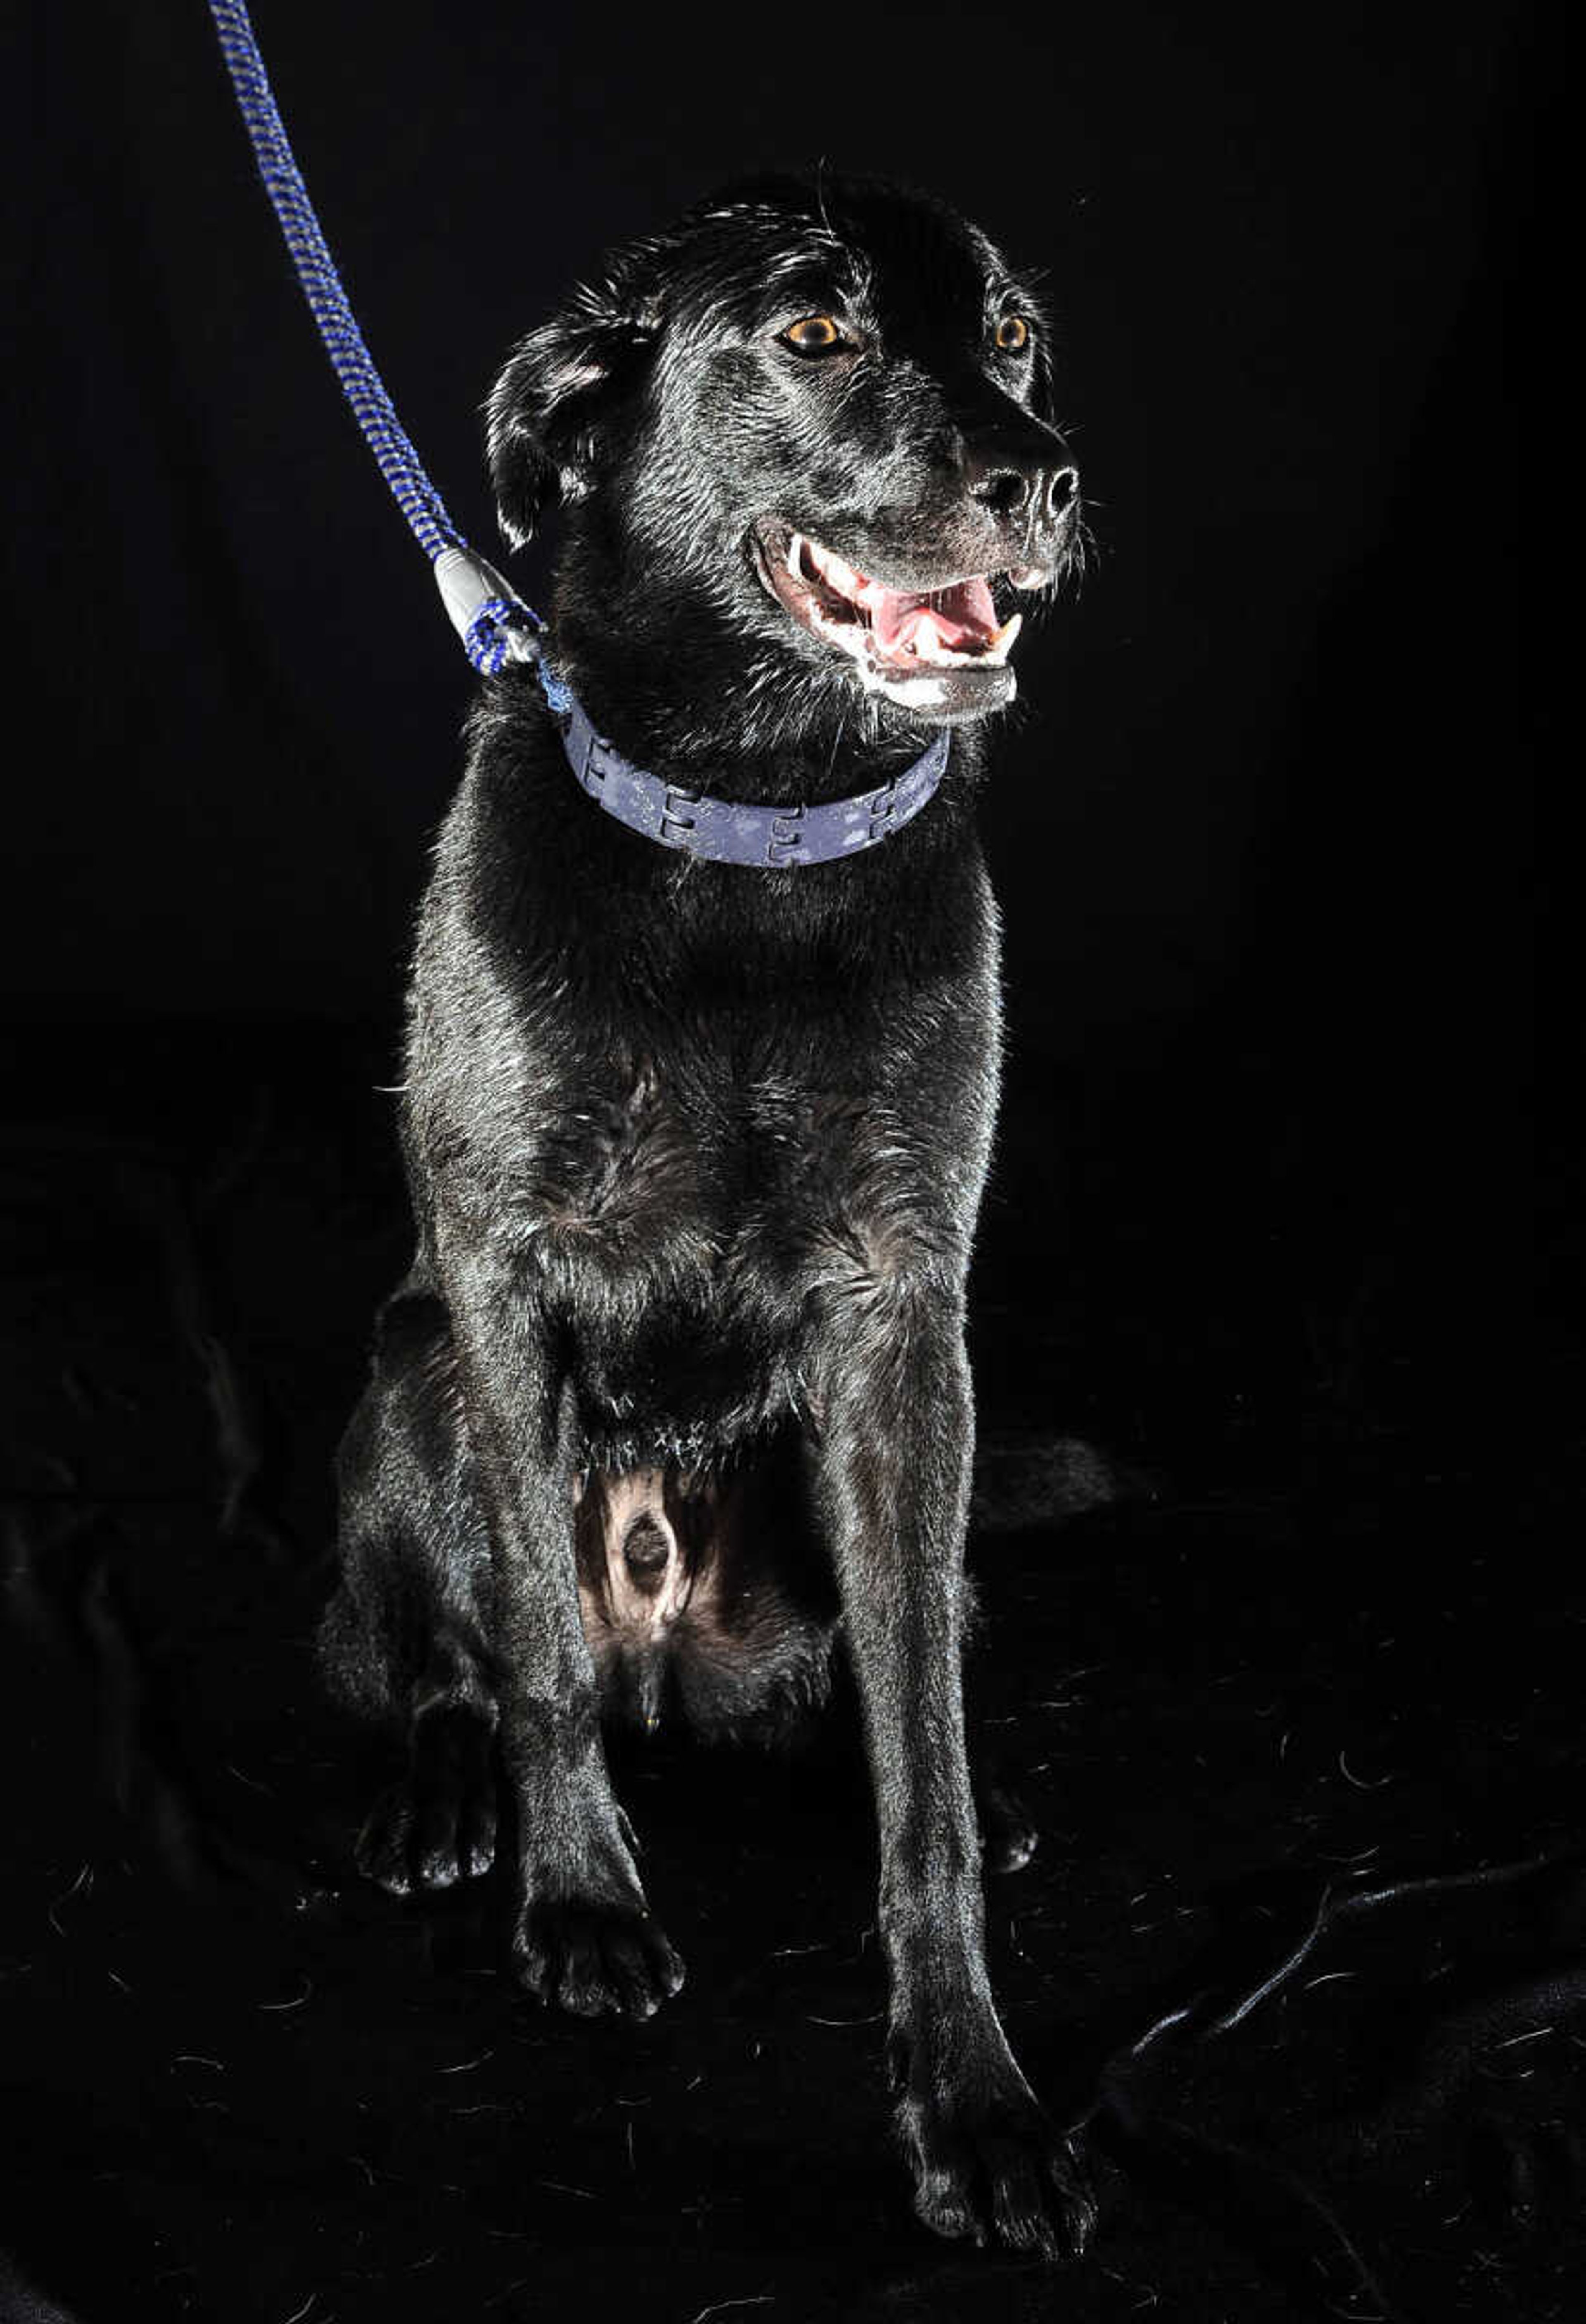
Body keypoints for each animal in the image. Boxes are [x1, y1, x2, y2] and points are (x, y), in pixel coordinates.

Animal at [323, 172, 1091, 2259]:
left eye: (1008, 333)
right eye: (814, 335)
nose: (1045, 476)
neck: (753, 823)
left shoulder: (906, 1322)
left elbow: (922, 1775)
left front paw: (970, 2089)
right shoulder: (500, 1280)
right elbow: (530, 1642)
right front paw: (581, 1892)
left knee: (896, 1665)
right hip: (410, 1375)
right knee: (431, 1644)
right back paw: (444, 1785)